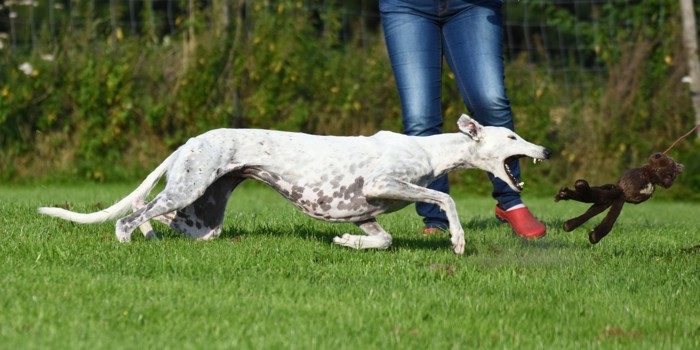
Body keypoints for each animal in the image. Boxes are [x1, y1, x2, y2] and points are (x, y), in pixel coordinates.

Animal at [38, 115, 552, 254]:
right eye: (511, 136)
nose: (545, 151)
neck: (428, 150)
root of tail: (190, 141)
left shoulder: (362, 210)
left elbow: (382, 239)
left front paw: (347, 243)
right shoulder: (384, 183)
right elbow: (445, 197)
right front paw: (458, 241)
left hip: (202, 217)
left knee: (156, 214)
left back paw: (152, 235)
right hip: (188, 190)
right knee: (130, 217)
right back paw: (131, 240)